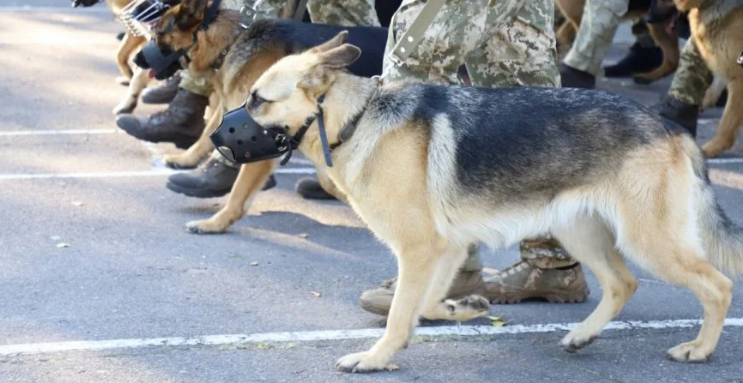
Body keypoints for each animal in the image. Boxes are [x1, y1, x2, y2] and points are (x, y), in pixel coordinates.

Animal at [149, 0, 386, 234]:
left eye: (157, 33)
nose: (140, 58)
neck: (232, 43)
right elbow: (209, 133)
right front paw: (187, 158)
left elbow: (238, 192)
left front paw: (214, 223)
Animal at [556, 0, 684, 83]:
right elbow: (562, 35)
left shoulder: (583, 15)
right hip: (658, 22)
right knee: (673, 59)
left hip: (656, 22)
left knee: (673, 58)